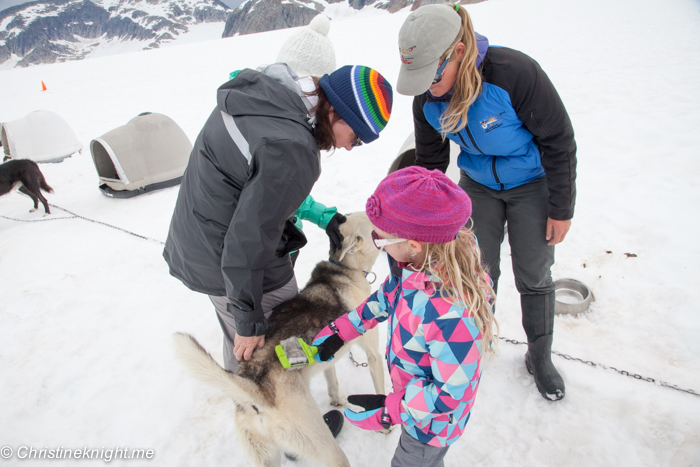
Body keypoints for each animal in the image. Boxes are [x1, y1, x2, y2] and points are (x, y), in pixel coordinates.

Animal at [173, 213, 386, 467]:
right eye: (372, 220)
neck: (344, 268)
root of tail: (255, 389)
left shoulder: (329, 357)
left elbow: (332, 381)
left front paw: (337, 400)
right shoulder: (373, 354)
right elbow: (381, 389)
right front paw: (386, 426)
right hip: (328, 450)